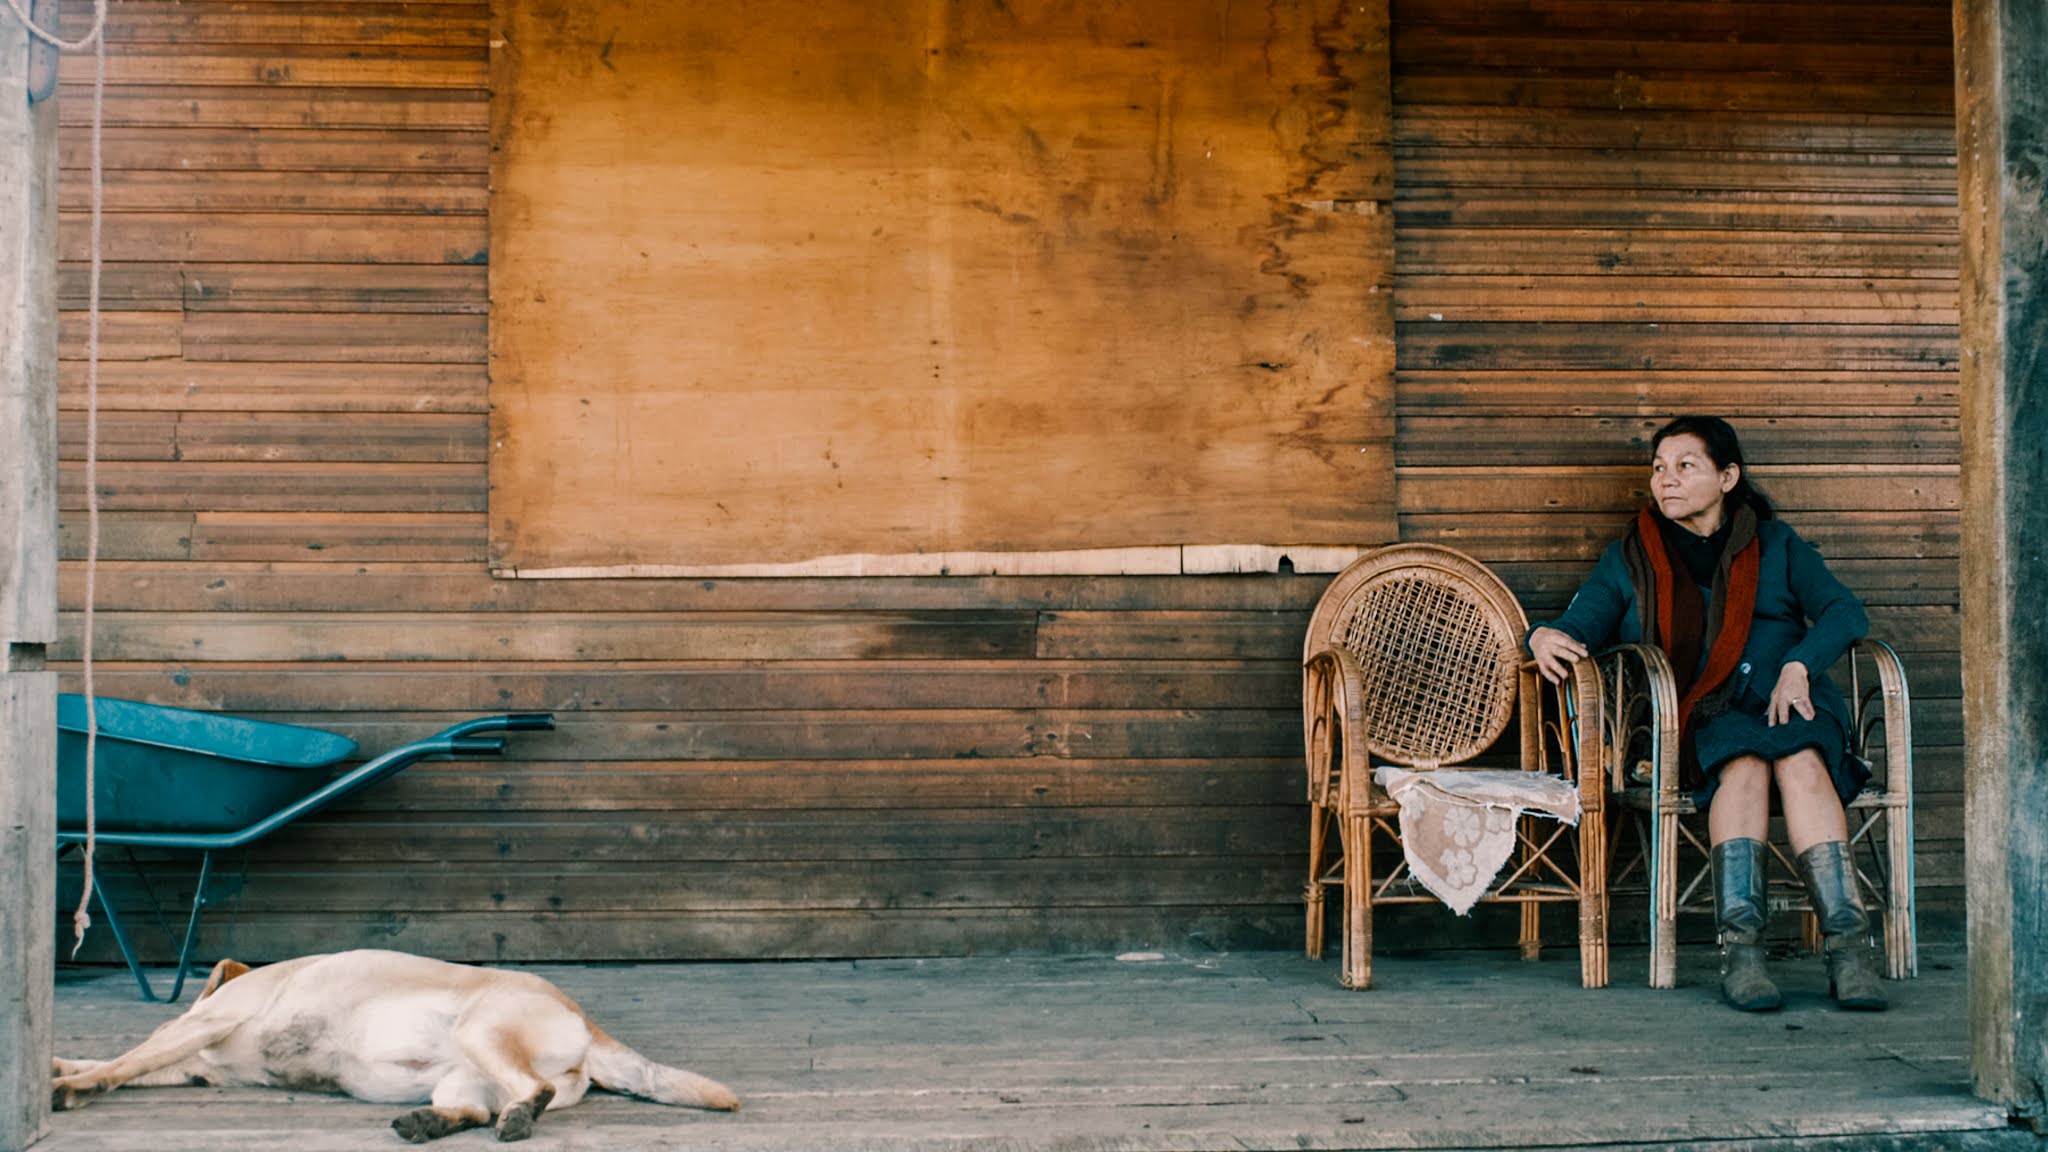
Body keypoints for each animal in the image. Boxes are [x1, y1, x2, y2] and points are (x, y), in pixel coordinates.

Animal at [49, 942, 745, 1139]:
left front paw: (73, 1085)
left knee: (531, 1092)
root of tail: (587, 1023)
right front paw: (59, 1066)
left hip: (481, 1030)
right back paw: (430, 1124)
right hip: (461, 1075)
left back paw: (517, 1119)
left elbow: (121, 1060)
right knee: (473, 1109)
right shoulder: (193, 1062)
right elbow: (121, 1059)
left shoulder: (202, 1027)